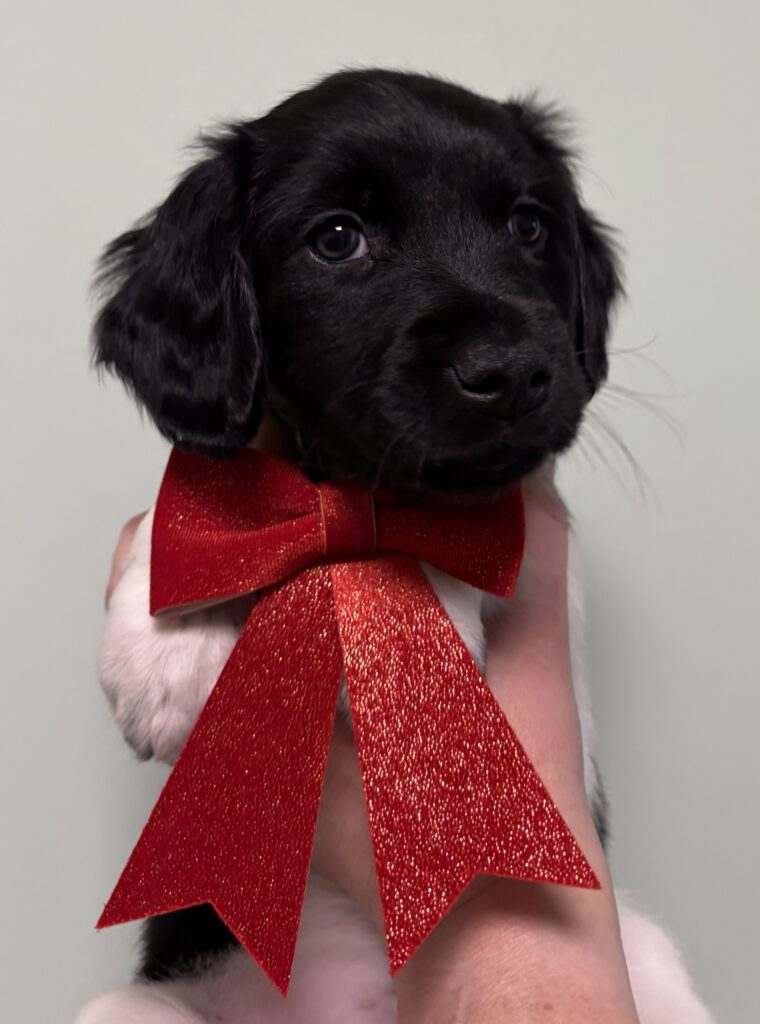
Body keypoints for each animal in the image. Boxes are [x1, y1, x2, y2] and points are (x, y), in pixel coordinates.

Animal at [78, 69, 714, 1023]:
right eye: (338, 238)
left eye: (530, 226)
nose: (511, 373)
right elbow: (204, 501)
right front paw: (163, 652)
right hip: (137, 1006)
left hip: (650, 958)